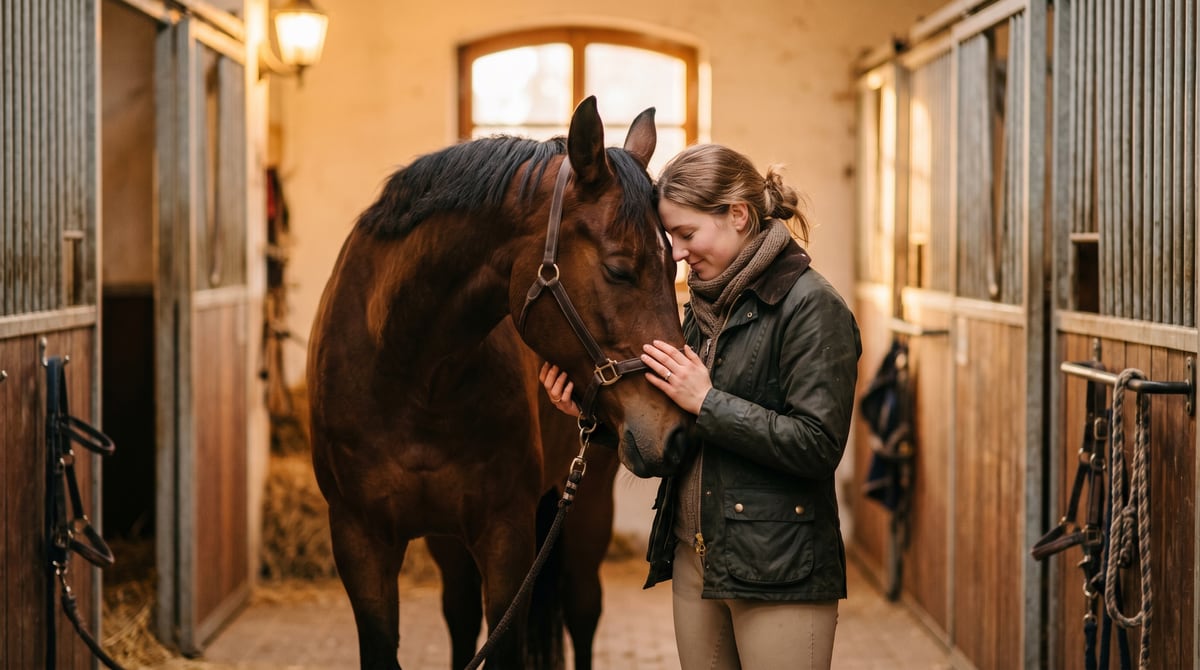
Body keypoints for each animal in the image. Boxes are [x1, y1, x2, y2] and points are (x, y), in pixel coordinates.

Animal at [307, 96, 692, 670]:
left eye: (675, 269)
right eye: (619, 269)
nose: (677, 433)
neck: (412, 374)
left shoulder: (507, 536)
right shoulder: (359, 539)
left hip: (586, 509)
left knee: (583, 612)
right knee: (461, 612)